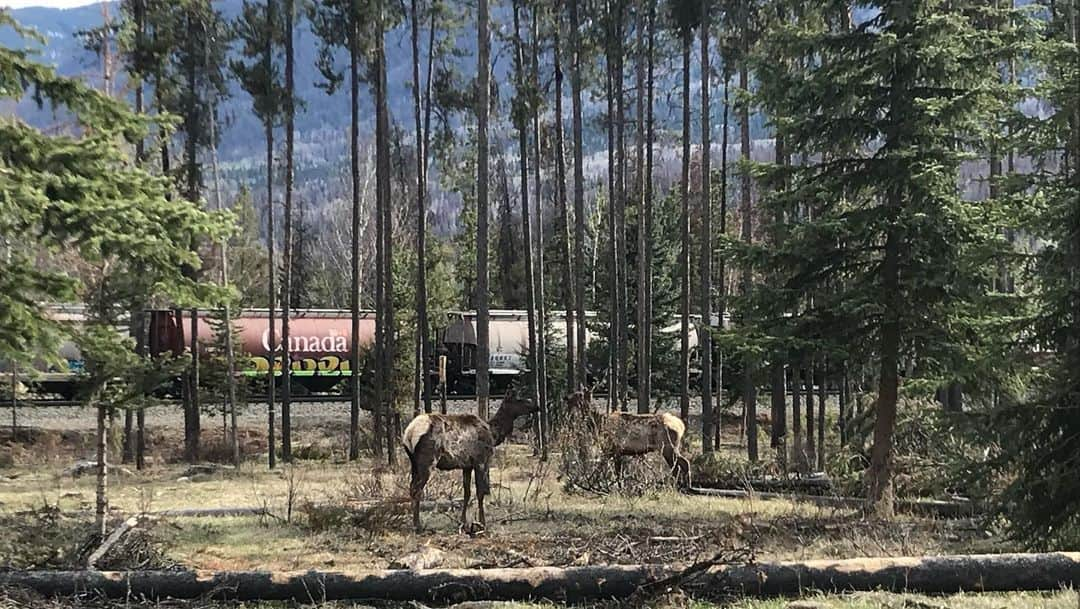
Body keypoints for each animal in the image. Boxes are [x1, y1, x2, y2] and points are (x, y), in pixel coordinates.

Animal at [403, 393, 537, 531]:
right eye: (519, 399)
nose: (536, 406)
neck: (493, 434)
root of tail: (409, 432)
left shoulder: (466, 466)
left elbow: (467, 493)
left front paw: (463, 522)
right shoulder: (481, 461)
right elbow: (480, 492)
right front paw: (482, 523)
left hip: (414, 463)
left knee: (411, 487)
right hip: (428, 461)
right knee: (417, 490)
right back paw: (418, 525)